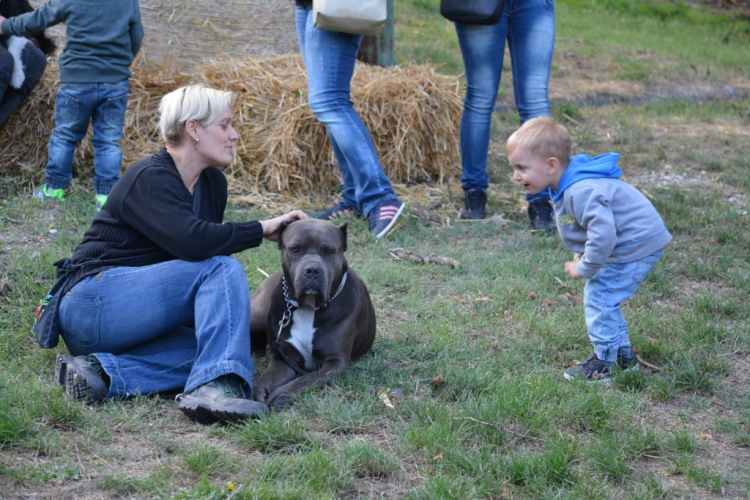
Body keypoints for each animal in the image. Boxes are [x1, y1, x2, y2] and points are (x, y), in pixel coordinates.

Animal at [251, 219, 376, 410]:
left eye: (329, 251)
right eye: (295, 249)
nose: (312, 270)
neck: (308, 307)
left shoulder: (335, 363)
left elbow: (307, 379)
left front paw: (284, 393)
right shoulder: (283, 360)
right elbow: (266, 377)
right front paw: (258, 390)